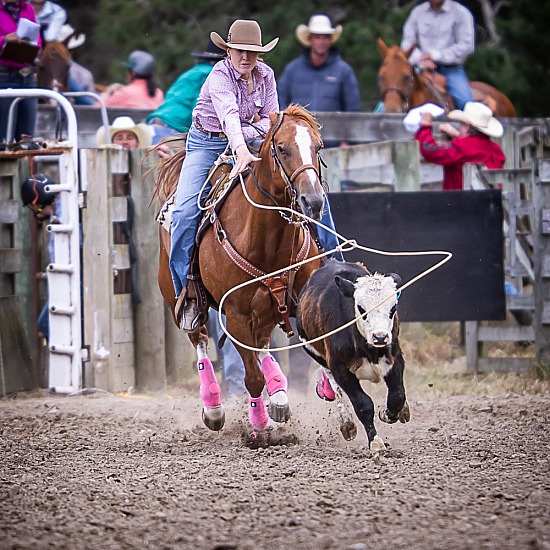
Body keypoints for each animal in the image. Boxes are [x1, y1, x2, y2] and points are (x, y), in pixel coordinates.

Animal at [155, 105, 328, 438]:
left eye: (317, 147)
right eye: (282, 149)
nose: (312, 201)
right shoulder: (235, 315)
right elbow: (252, 379)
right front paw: (259, 426)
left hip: (267, 309)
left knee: (261, 343)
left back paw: (280, 395)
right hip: (178, 299)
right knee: (200, 340)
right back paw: (214, 407)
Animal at [298, 262, 410, 452]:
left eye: (393, 308)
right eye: (361, 308)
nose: (380, 337)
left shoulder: (394, 359)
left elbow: (397, 395)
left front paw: (387, 414)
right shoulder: (340, 368)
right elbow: (363, 404)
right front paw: (376, 442)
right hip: (318, 356)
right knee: (334, 386)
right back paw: (347, 424)